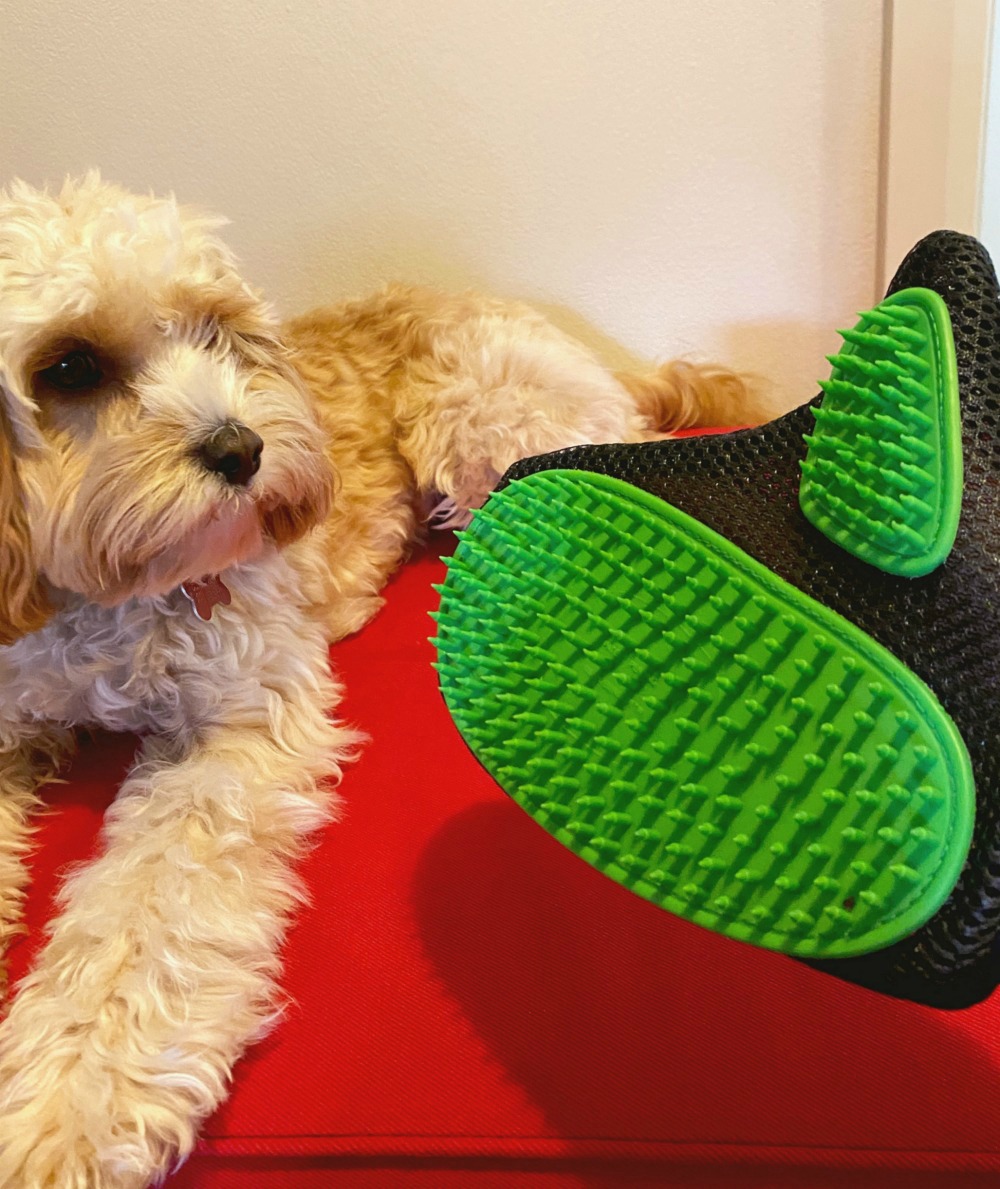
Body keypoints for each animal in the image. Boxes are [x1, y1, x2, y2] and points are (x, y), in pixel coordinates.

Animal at [0, 173, 756, 1189]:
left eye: (213, 331)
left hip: (494, 425)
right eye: (71, 367)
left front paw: (73, 1104)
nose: (244, 449)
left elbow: (150, 912)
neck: (87, 600)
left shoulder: (237, 720)